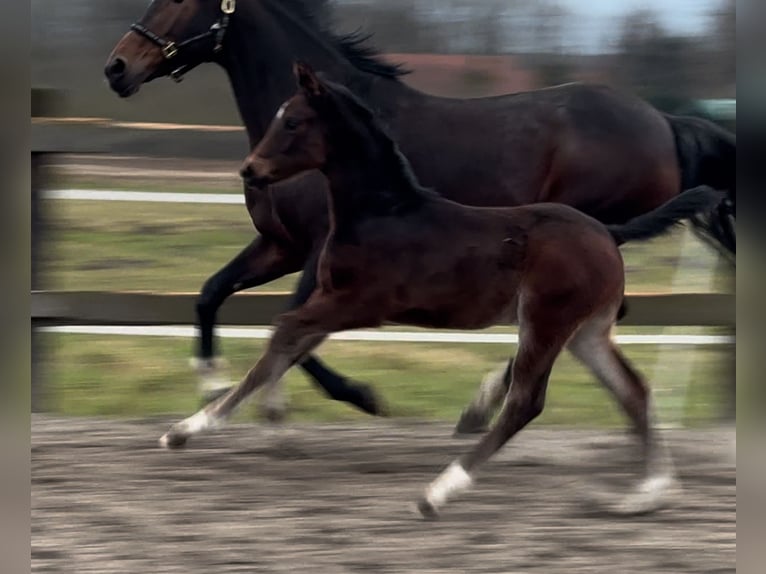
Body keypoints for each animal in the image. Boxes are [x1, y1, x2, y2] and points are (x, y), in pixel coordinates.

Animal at [103, 0, 736, 428]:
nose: (117, 67)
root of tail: (664, 121)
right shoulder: (279, 247)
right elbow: (211, 295)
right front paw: (213, 388)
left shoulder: (320, 251)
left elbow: (292, 325)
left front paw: (356, 397)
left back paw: (482, 404)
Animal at [159, 65, 724, 520]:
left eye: (293, 121)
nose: (249, 170)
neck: (383, 212)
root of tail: (609, 231)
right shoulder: (331, 300)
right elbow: (287, 344)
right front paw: (207, 428)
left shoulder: (359, 304)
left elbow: (282, 333)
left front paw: (201, 424)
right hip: (586, 331)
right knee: (633, 391)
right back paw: (646, 495)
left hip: (546, 321)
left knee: (527, 401)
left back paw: (438, 491)